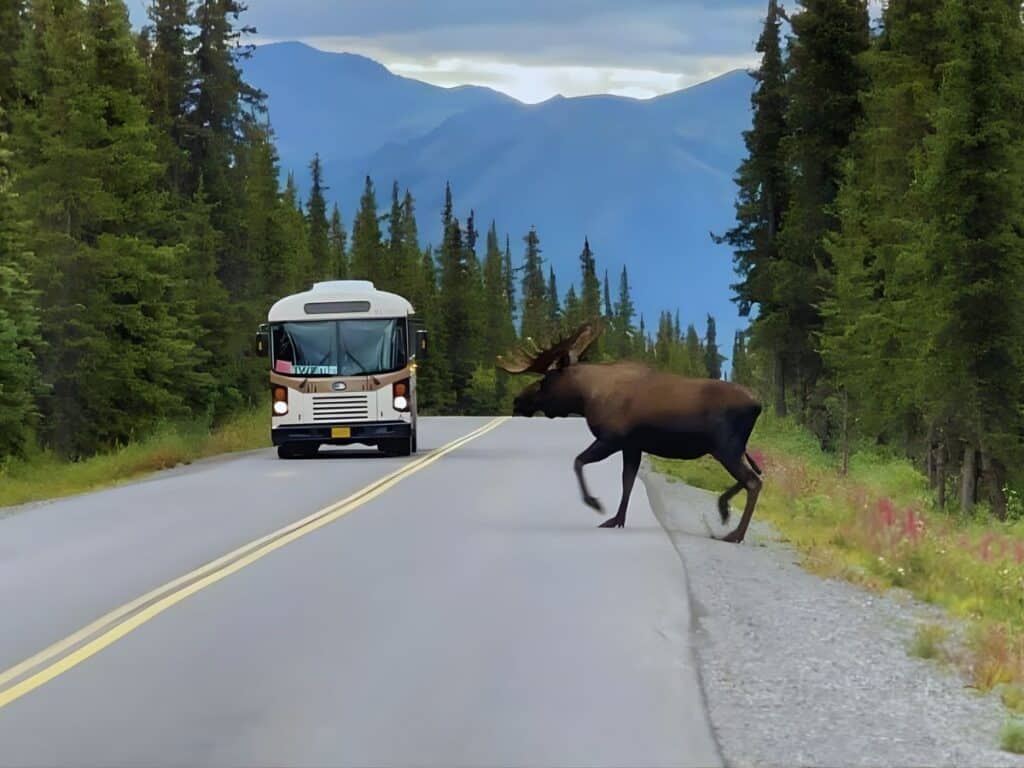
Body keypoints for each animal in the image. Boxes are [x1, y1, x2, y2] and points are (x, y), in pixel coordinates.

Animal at [498, 320, 764, 543]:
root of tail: (758, 405)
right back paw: (723, 507)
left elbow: (578, 462)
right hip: (732, 448)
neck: (585, 397)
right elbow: (627, 481)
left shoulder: (611, 439)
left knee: (753, 481)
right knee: (754, 476)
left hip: (726, 447)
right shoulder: (632, 445)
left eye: (545, 380)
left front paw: (595, 504)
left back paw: (735, 533)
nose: (518, 401)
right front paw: (617, 520)